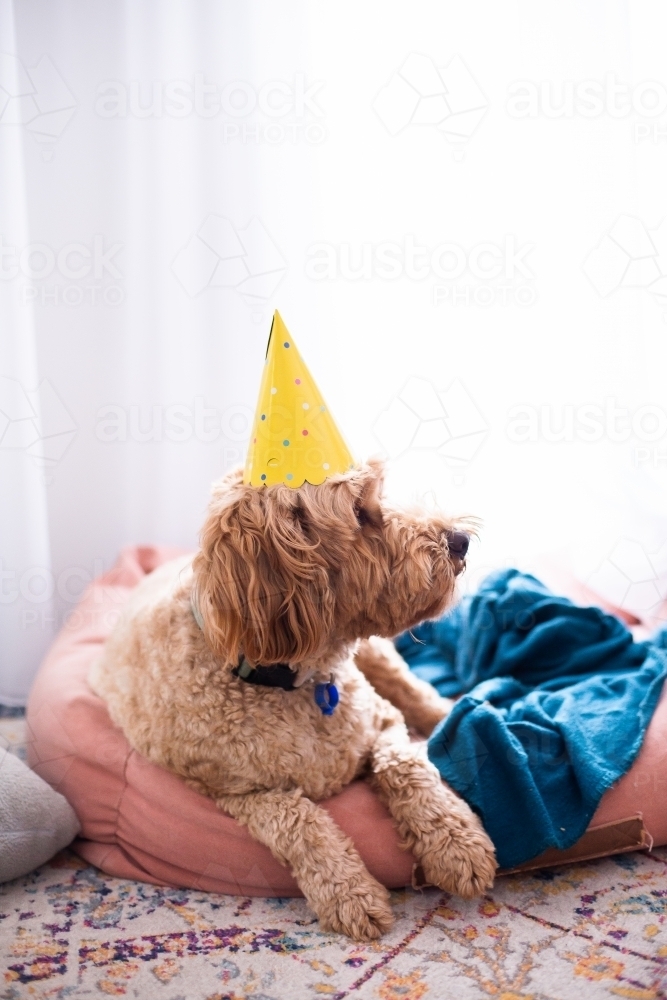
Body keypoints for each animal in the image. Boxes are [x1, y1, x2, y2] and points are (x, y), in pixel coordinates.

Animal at [90, 458, 496, 940]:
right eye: (359, 511)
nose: (459, 540)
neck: (292, 681)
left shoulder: (385, 722)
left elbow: (407, 766)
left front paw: (457, 845)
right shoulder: (242, 793)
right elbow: (301, 823)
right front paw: (349, 893)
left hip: (379, 658)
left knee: (417, 693)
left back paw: (457, 716)